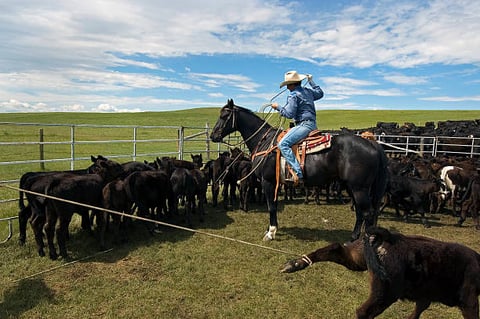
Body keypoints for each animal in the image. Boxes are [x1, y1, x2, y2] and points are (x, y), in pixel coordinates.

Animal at [210, 100, 386, 242]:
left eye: (224, 116)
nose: (213, 136)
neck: (265, 141)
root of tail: (373, 144)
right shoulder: (274, 183)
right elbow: (274, 205)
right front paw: (272, 229)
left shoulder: (268, 182)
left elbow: (271, 206)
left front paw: (270, 233)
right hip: (351, 187)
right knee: (360, 212)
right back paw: (353, 237)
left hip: (359, 188)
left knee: (368, 213)